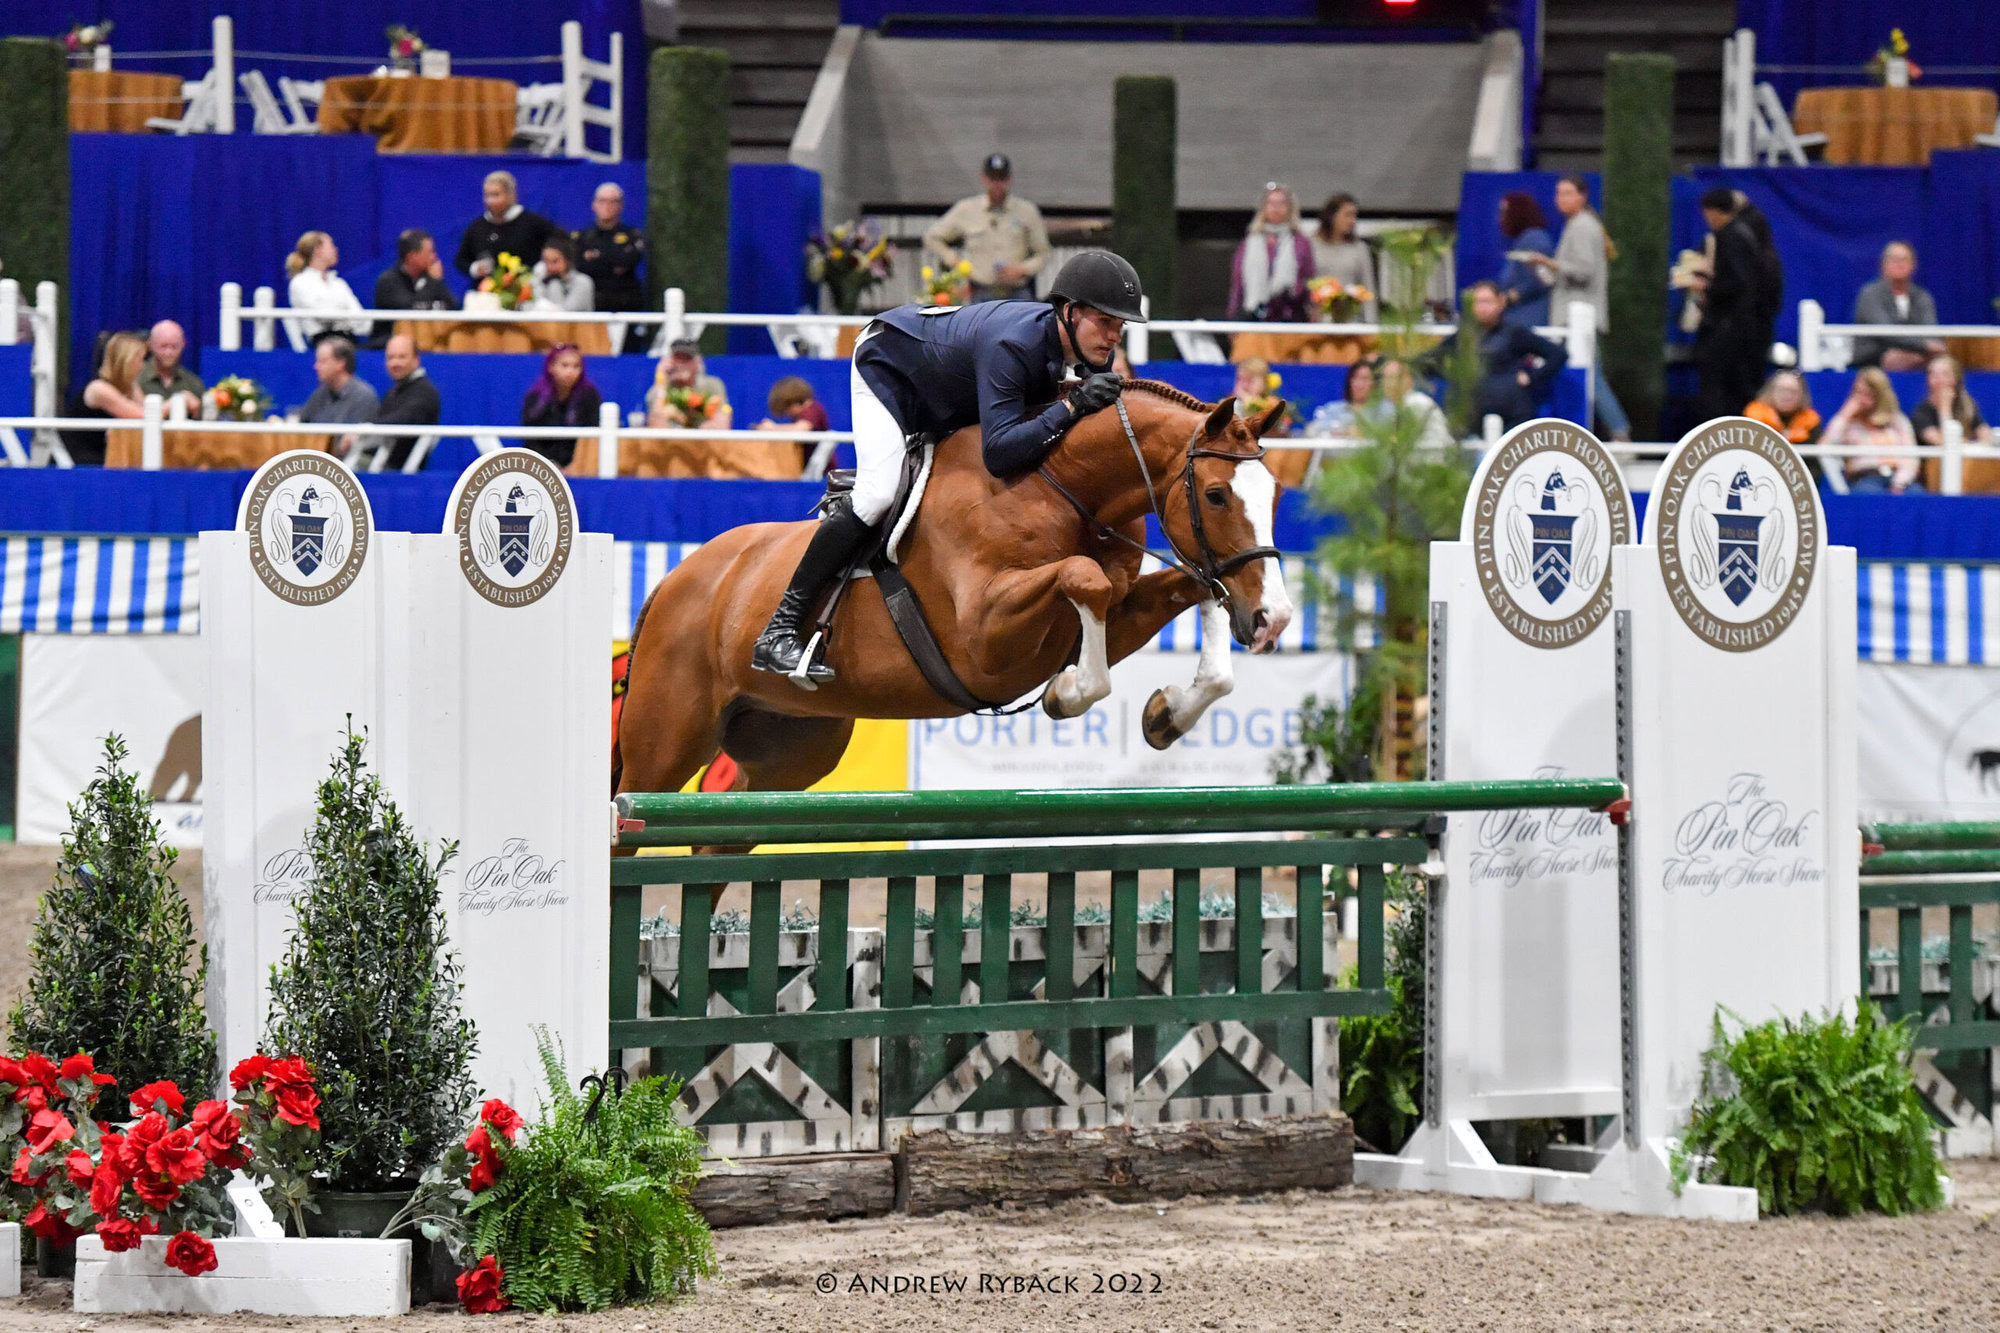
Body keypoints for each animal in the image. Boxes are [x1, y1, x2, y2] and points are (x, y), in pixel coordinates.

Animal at [612, 381, 1295, 804]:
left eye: (1277, 495)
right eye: (1216, 495)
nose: (1275, 619)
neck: (1061, 484)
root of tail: (674, 579)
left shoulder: (1115, 612)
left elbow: (1193, 588)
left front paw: (1167, 714)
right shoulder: (984, 638)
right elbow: (1084, 577)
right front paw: (1068, 694)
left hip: (790, 751)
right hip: (664, 746)